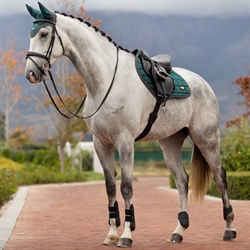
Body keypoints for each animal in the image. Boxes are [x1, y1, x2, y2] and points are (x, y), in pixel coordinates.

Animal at [23, 2, 236, 248]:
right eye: (31, 35)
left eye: (44, 34)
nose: (31, 73)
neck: (106, 81)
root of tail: (203, 84)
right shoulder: (101, 143)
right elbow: (110, 186)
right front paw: (111, 233)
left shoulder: (125, 141)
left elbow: (126, 186)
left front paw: (126, 234)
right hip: (170, 143)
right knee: (182, 181)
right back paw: (178, 231)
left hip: (206, 138)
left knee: (220, 177)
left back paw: (229, 229)